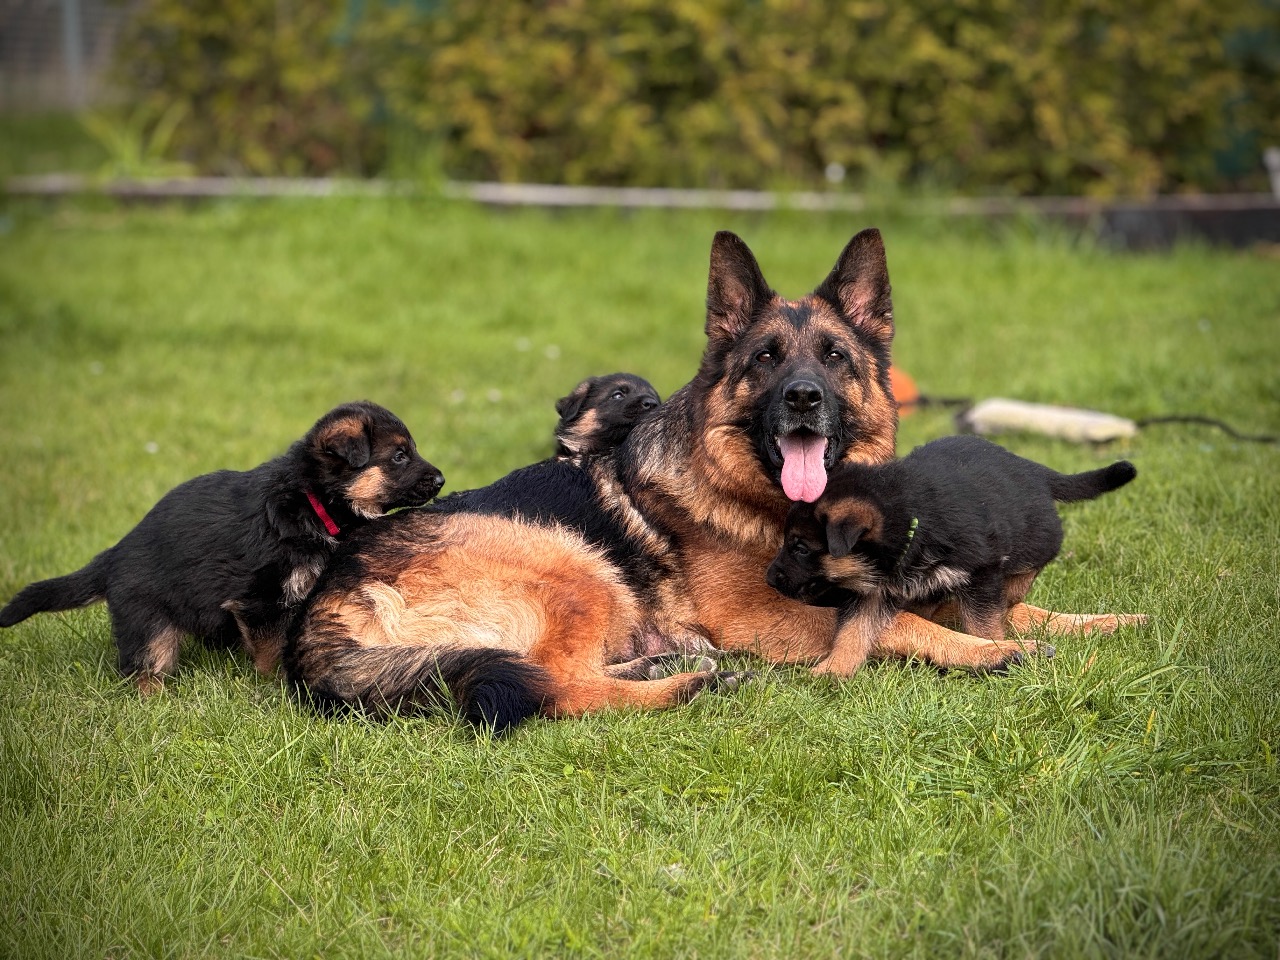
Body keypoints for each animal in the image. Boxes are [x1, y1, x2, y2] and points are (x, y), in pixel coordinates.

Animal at [0, 401, 444, 693]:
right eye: (400, 456)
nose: (441, 479)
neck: (311, 498)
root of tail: (113, 555)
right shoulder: (260, 598)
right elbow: (271, 648)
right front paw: (273, 684)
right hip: (147, 623)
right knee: (144, 666)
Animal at [767, 436, 1142, 675]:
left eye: (800, 547)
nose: (769, 578)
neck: (910, 520)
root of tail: (1034, 469)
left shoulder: (982, 571)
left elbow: (982, 624)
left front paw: (995, 648)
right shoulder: (872, 593)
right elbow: (853, 632)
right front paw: (834, 670)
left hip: (1037, 539)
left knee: (1026, 571)